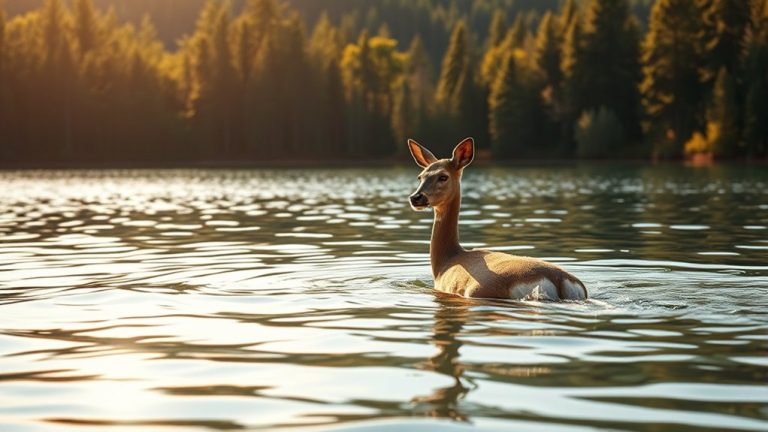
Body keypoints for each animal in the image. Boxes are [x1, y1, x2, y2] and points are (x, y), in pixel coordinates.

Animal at [407, 137, 588, 301]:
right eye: (420, 177)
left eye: (443, 176)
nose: (416, 197)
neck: (446, 260)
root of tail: (559, 282)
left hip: (481, 291)